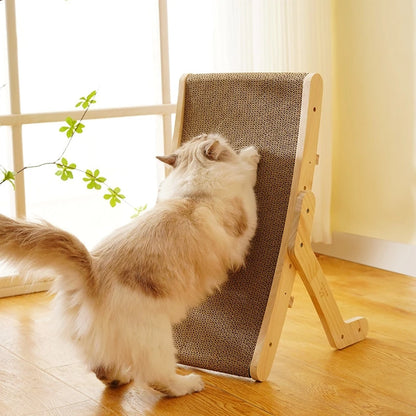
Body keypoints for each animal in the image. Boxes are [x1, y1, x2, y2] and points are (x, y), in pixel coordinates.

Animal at [0, 134, 260, 396]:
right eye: (211, 139)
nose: (208, 135)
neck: (192, 196)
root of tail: (92, 270)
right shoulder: (246, 221)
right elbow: (248, 175)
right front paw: (252, 154)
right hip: (157, 336)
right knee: (158, 379)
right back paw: (188, 383)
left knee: (101, 368)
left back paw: (120, 379)